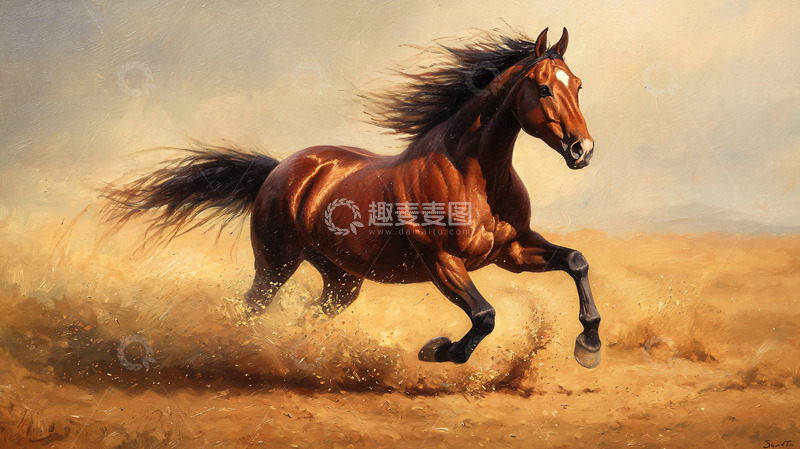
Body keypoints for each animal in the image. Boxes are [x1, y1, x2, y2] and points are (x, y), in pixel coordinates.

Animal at [102, 28, 601, 368]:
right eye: (543, 87)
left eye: (578, 85)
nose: (583, 150)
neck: (473, 175)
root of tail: (280, 169)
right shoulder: (442, 260)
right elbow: (484, 316)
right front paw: (436, 350)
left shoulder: (511, 251)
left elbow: (576, 261)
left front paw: (589, 345)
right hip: (276, 263)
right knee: (253, 306)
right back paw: (241, 353)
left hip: (340, 279)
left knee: (310, 313)